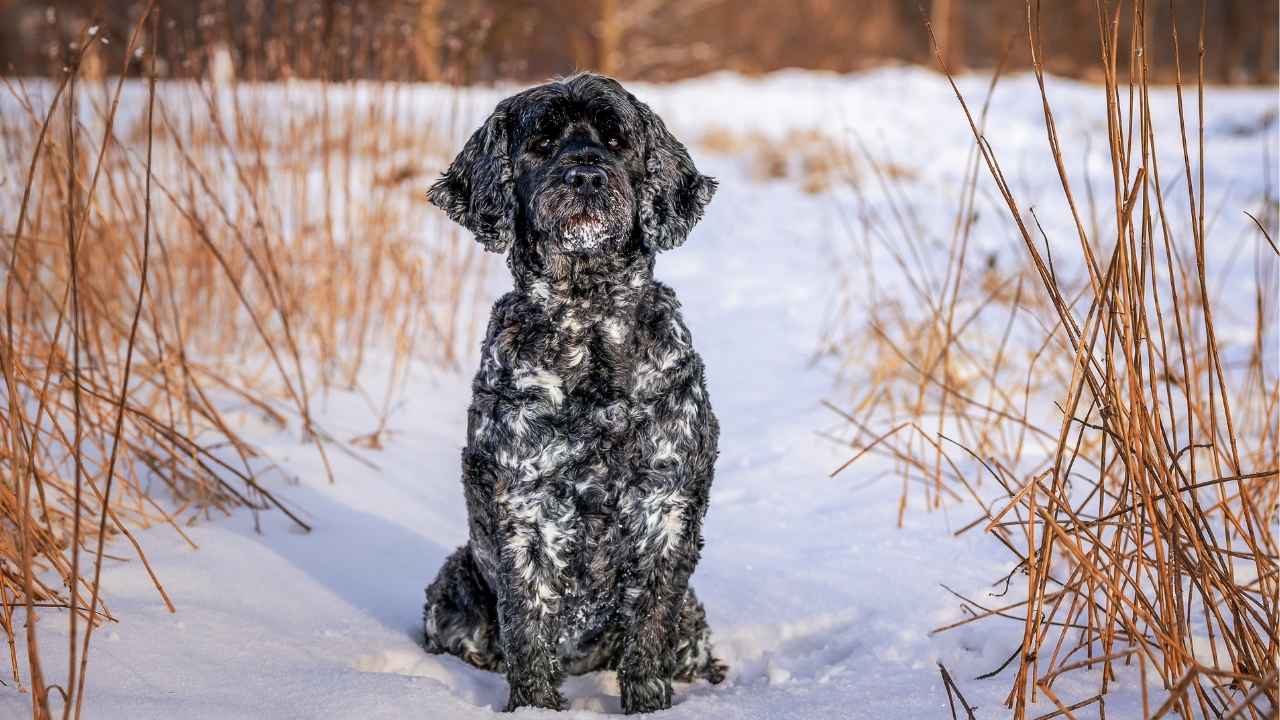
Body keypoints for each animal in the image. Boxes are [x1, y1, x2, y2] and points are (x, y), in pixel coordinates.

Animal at [424, 73, 727, 712]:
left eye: (616, 142)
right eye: (541, 143)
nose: (585, 175)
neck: (589, 325)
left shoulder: (666, 505)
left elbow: (648, 631)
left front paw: (648, 704)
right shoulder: (525, 509)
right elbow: (527, 627)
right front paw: (534, 707)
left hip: (693, 618)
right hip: (452, 590)